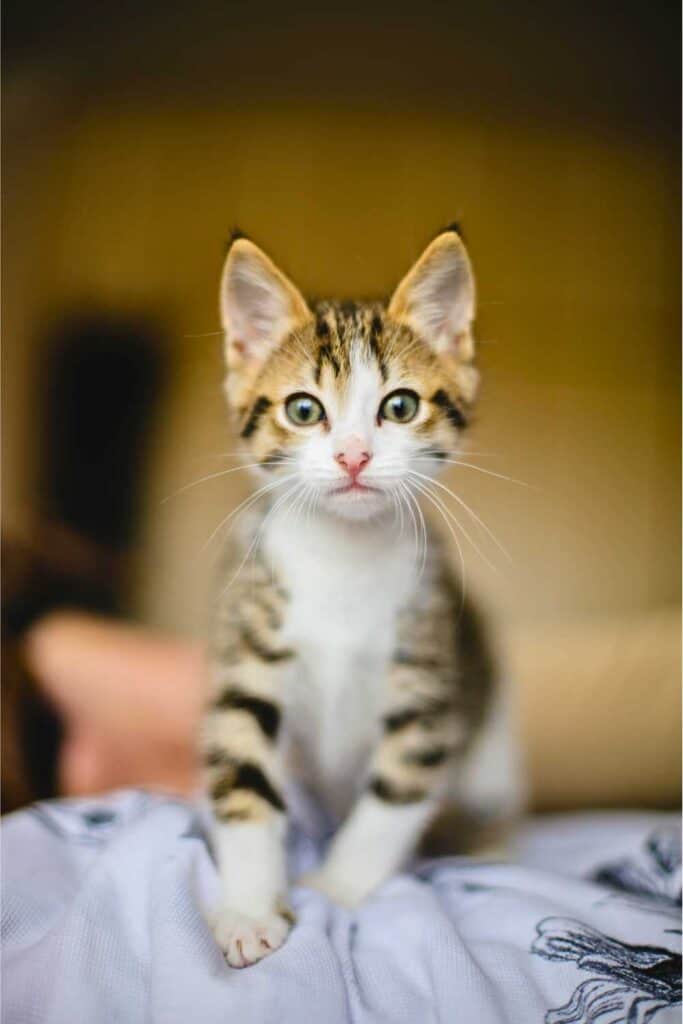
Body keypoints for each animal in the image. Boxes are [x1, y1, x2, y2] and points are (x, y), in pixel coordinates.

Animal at [202, 226, 524, 966]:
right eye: (303, 409)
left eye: (399, 406)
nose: (353, 456)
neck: (342, 559)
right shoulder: (250, 647)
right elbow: (242, 770)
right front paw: (249, 909)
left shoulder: (427, 675)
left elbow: (395, 795)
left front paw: (339, 891)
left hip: (492, 748)